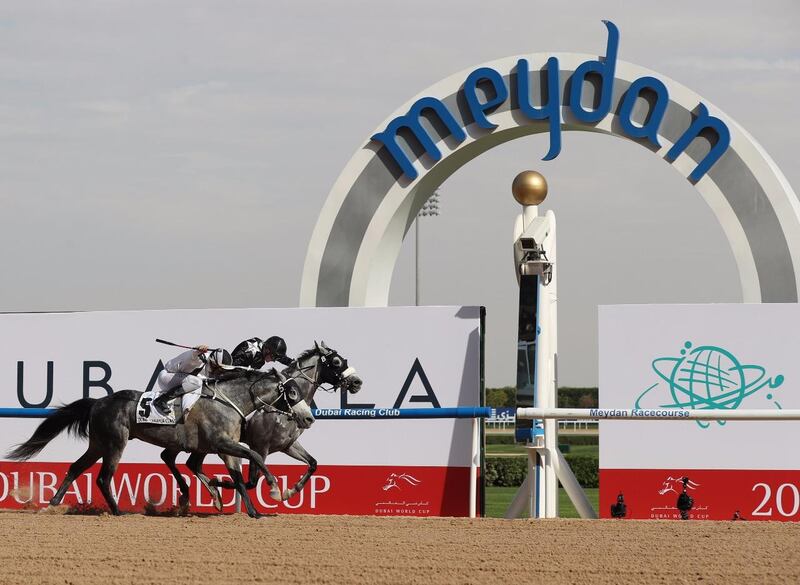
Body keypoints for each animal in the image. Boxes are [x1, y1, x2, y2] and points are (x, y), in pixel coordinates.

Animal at [5, 368, 312, 512]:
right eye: (292, 393)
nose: (308, 418)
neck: (229, 401)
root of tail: (98, 402)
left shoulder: (223, 447)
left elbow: (238, 476)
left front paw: (249, 510)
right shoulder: (224, 444)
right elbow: (255, 459)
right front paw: (275, 490)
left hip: (99, 443)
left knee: (77, 467)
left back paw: (54, 502)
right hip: (115, 443)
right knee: (104, 477)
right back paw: (117, 511)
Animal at [188, 340, 362, 504]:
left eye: (343, 360)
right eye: (336, 362)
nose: (357, 382)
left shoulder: (287, 445)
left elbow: (313, 463)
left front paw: (290, 491)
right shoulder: (260, 447)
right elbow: (252, 481)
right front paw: (221, 482)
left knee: (192, 464)